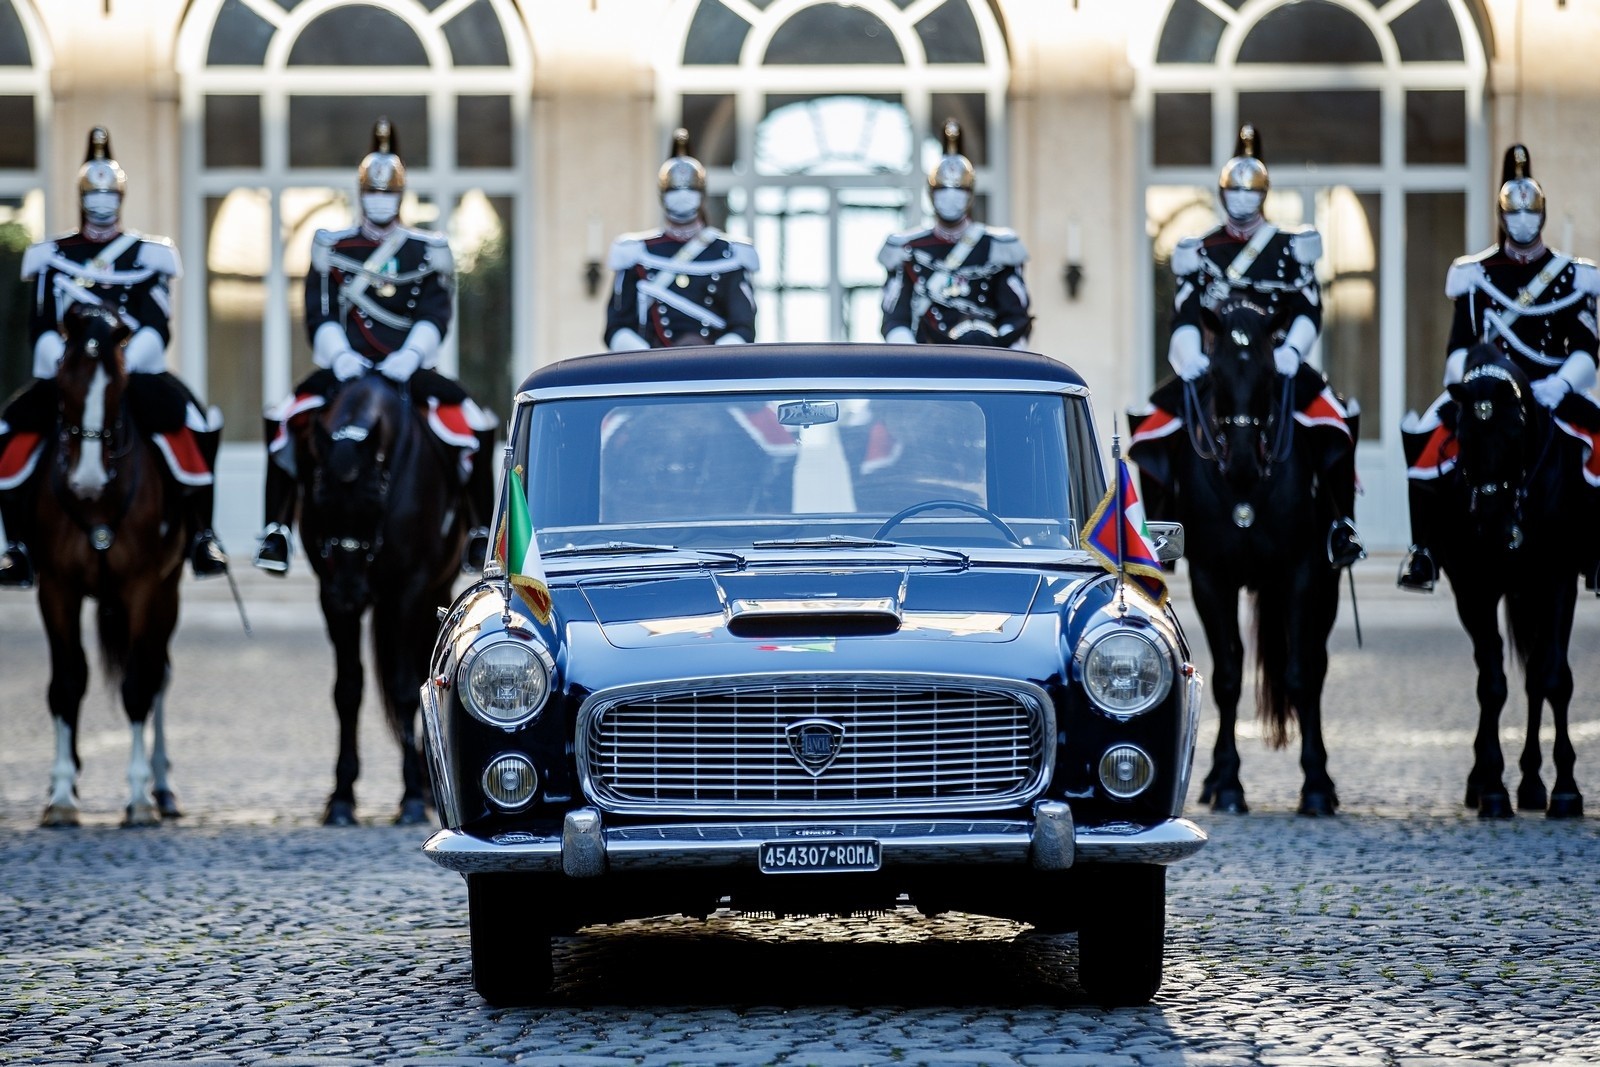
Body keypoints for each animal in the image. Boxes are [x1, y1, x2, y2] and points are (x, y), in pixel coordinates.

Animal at [30, 303, 187, 831]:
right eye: (63, 381)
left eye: (118, 386)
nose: (87, 480)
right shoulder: (55, 588)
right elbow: (66, 683)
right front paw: (61, 795)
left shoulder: (143, 588)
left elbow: (138, 685)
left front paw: (138, 797)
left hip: (168, 592)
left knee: (158, 673)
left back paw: (161, 788)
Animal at [289, 371, 467, 831]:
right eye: (319, 497)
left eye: (374, 497)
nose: (351, 591)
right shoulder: (328, 597)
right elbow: (347, 689)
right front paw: (341, 797)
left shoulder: (409, 590)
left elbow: (406, 689)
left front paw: (411, 797)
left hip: (433, 591)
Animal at [1132, 300, 1344, 819]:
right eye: (1216, 373)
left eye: (1270, 373)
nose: (1244, 461)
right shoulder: (1211, 578)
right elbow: (1228, 676)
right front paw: (1227, 783)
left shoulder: (1300, 573)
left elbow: (1300, 675)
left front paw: (1315, 784)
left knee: (1316, 664)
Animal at [1427, 347, 1587, 825]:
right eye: (1461, 435)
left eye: (1516, 429)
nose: (1494, 526)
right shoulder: (1473, 588)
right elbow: (1492, 684)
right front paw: (1493, 788)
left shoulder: (1558, 581)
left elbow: (1554, 677)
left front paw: (1566, 789)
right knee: (1494, 672)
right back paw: (1486, 779)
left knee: (1535, 675)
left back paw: (1533, 782)